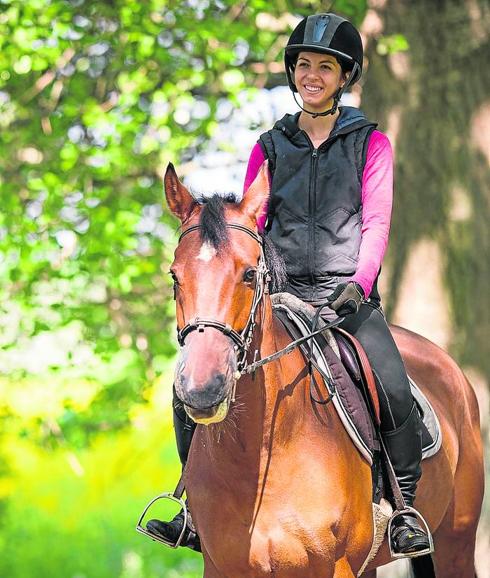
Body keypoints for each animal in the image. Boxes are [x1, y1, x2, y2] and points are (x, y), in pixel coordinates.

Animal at [164, 159, 482, 576]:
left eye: (249, 273)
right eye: (174, 275)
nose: (202, 388)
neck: (260, 453)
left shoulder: (336, 565)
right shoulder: (221, 567)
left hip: (455, 543)